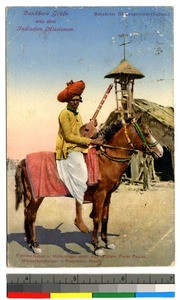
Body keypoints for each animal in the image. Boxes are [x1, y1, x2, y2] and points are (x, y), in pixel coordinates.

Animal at [14, 117, 163, 255]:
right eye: (146, 133)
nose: (161, 152)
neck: (106, 160)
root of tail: (24, 160)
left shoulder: (108, 195)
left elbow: (105, 218)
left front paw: (106, 242)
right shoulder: (100, 195)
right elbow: (97, 219)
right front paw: (96, 246)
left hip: (29, 195)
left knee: (26, 213)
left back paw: (29, 242)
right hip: (37, 197)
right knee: (31, 215)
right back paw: (35, 245)